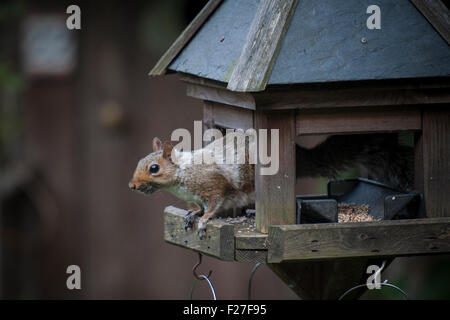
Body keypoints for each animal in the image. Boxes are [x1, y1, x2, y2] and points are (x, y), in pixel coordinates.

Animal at [128, 131, 414, 239]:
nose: (132, 185)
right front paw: (192, 214)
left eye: (154, 169)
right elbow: (199, 206)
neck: (183, 173)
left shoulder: (213, 183)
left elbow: (215, 203)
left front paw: (204, 220)